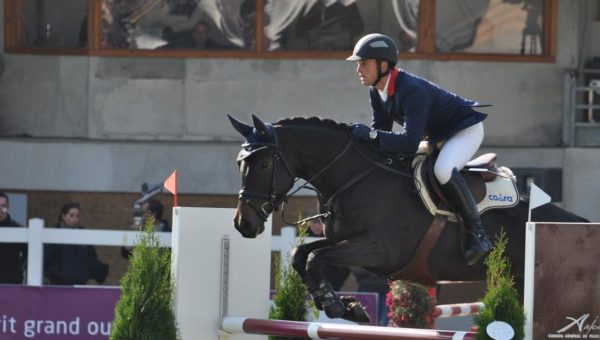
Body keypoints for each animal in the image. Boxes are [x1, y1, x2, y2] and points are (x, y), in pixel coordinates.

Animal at [227, 115, 588, 324]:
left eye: (262, 164)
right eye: (239, 163)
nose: (244, 224)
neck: (353, 176)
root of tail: (571, 221)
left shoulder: (379, 250)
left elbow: (317, 258)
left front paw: (336, 305)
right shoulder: (343, 239)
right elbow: (301, 254)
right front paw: (346, 305)